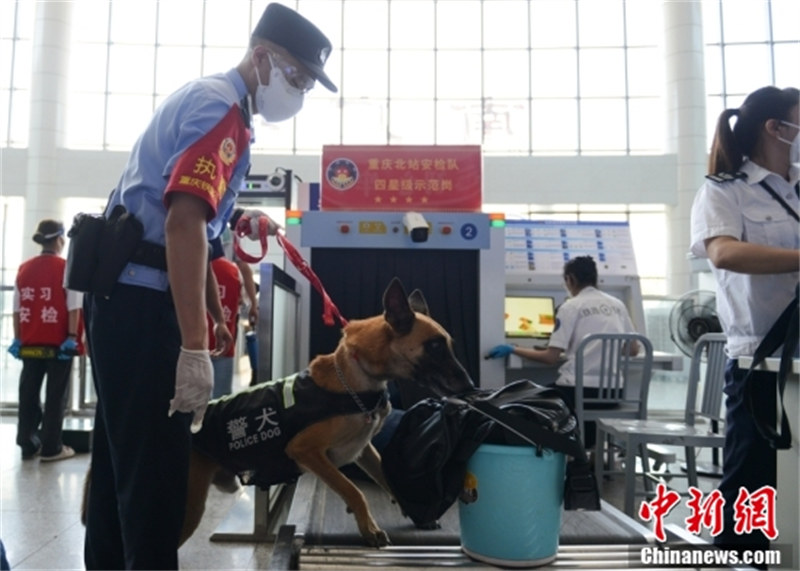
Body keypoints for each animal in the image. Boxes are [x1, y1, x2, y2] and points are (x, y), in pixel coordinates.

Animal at [83, 280, 476, 548]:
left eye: (449, 345)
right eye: (435, 347)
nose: (470, 385)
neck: (356, 380)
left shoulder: (365, 451)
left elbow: (389, 478)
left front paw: (415, 512)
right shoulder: (308, 453)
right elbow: (353, 490)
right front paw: (369, 527)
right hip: (188, 508)